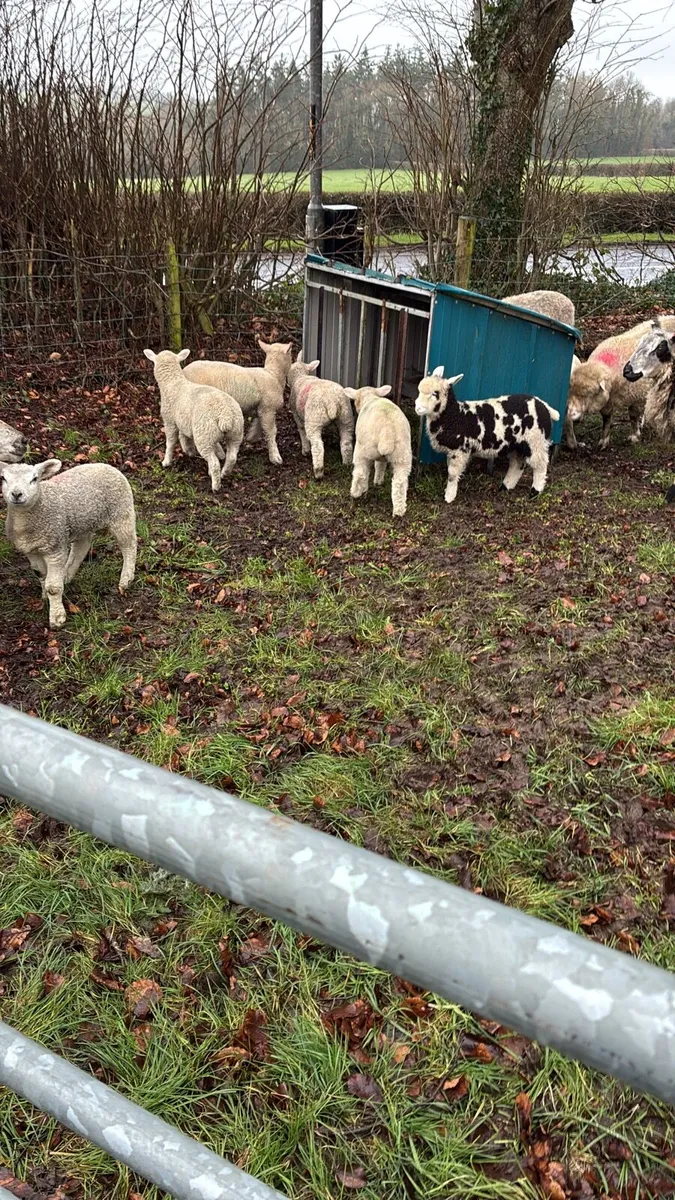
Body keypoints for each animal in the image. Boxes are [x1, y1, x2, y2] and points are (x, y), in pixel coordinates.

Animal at [1, 459, 136, 629]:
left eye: (34, 479)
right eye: (3, 478)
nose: (16, 494)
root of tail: (105, 464)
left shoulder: (55, 548)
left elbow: (53, 587)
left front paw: (57, 617)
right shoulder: (31, 549)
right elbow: (40, 574)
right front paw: (45, 596)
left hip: (121, 511)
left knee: (129, 545)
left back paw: (126, 579)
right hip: (83, 523)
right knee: (81, 547)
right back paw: (66, 575)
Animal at [144, 348, 244, 492]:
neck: (173, 383)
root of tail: (225, 416)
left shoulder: (170, 421)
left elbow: (171, 442)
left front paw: (166, 461)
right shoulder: (188, 424)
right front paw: (215, 453)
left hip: (204, 435)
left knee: (214, 462)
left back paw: (215, 485)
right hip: (232, 433)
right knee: (231, 457)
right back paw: (224, 473)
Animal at [344, 385, 412, 517]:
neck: (370, 398)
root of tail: (387, 432)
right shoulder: (383, 457)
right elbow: (380, 466)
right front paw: (378, 482)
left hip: (363, 450)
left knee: (360, 473)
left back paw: (355, 494)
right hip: (403, 455)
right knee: (400, 483)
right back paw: (399, 511)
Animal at [414, 366, 559, 501]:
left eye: (435, 393)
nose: (417, 408)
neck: (456, 416)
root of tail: (545, 406)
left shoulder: (460, 450)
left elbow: (452, 474)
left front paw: (449, 496)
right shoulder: (453, 451)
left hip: (536, 441)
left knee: (540, 466)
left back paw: (534, 492)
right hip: (516, 444)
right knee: (517, 464)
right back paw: (505, 486)